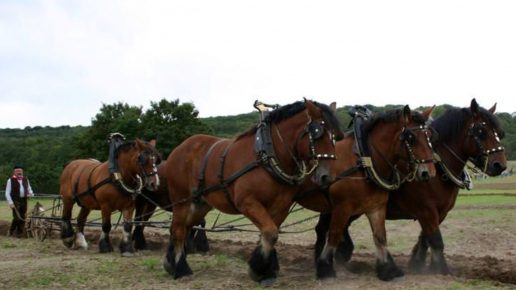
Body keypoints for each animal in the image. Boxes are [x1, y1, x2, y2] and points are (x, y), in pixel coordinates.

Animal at [163, 100, 344, 286]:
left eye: (335, 137)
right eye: (318, 134)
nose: (327, 177)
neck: (268, 155)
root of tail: (180, 147)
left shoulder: (281, 206)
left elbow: (269, 234)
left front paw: (264, 271)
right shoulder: (247, 202)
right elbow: (270, 232)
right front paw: (259, 270)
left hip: (201, 204)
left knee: (184, 227)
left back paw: (171, 263)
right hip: (182, 200)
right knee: (178, 229)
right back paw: (181, 269)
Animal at [298, 106, 436, 280]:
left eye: (429, 136)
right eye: (411, 138)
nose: (429, 173)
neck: (365, 160)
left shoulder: (376, 206)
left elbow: (380, 236)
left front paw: (387, 268)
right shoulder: (342, 207)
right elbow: (335, 234)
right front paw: (325, 269)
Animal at [332, 97, 506, 274]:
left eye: (498, 133)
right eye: (481, 132)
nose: (500, 165)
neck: (438, 167)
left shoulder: (440, 212)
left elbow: (426, 239)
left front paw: (418, 264)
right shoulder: (426, 210)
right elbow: (436, 240)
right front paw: (442, 270)